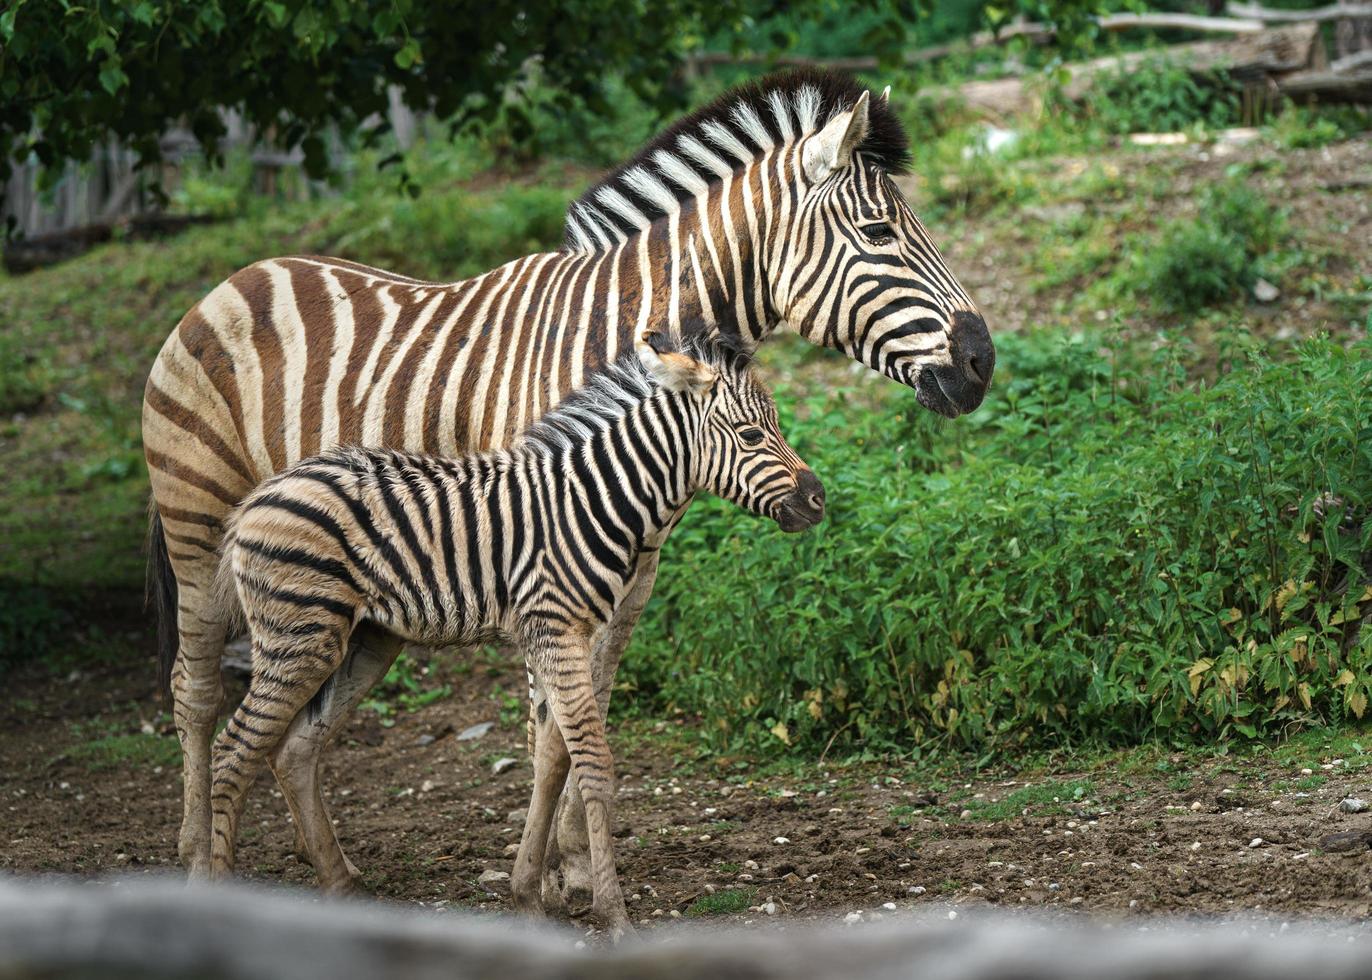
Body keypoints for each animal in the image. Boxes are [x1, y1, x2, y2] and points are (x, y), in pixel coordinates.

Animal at [208, 332, 817, 933]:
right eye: (751, 434)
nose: (819, 500)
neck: (594, 501)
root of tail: (257, 498)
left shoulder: (570, 633)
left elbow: (551, 759)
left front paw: (528, 895)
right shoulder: (553, 627)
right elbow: (592, 762)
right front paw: (612, 913)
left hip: (364, 640)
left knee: (295, 750)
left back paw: (342, 887)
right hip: (298, 636)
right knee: (233, 749)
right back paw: (213, 890)